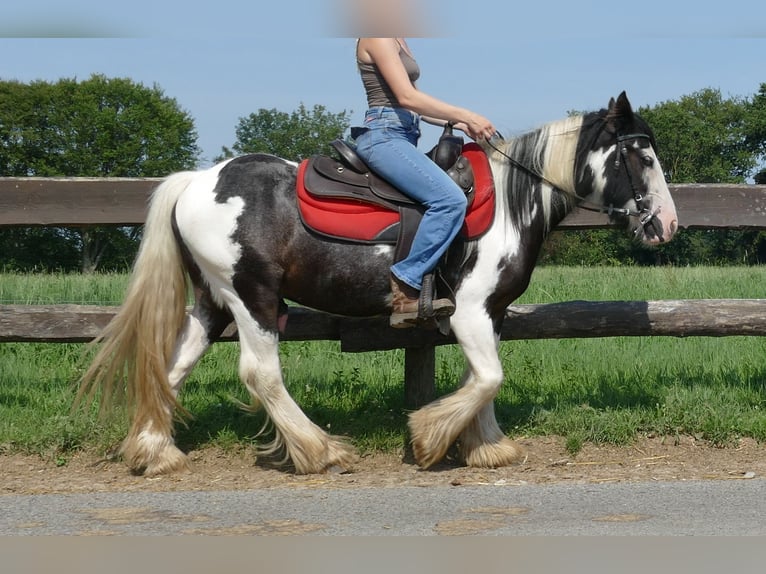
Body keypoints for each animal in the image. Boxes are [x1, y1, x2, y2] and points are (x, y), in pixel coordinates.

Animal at [78, 91, 680, 476]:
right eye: (641, 154)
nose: (667, 225)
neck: (513, 201)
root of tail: (195, 182)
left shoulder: (490, 313)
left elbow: (481, 377)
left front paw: (486, 447)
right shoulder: (469, 309)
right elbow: (489, 377)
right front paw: (429, 438)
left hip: (213, 302)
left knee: (172, 365)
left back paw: (155, 452)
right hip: (252, 296)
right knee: (260, 373)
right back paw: (319, 451)